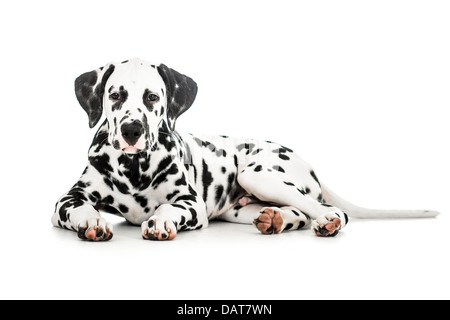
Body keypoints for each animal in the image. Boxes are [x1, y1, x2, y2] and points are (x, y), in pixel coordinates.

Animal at [51, 58, 438, 241]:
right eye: (115, 95)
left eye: (152, 97)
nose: (132, 131)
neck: (134, 168)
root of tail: (310, 166)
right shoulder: (66, 200)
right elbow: (78, 208)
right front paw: (92, 221)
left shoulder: (190, 203)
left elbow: (167, 208)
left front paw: (159, 220)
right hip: (241, 206)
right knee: (297, 212)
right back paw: (276, 220)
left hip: (257, 175)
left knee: (328, 210)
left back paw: (325, 222)